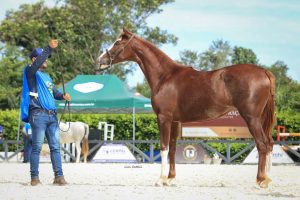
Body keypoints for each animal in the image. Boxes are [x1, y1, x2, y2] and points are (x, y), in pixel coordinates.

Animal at [96, 27, 274, 188]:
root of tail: (264, 72)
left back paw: (261, 180)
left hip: (251, 118)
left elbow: (163, 147)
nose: (99, 61)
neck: (165, 76)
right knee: (270, 144)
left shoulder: (164, 118)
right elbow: (173, 149)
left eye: (117, 42)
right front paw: (170, 179)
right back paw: (268, 179)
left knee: (262, 144)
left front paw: (160, 180)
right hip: (261, 118)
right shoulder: (175, 121)